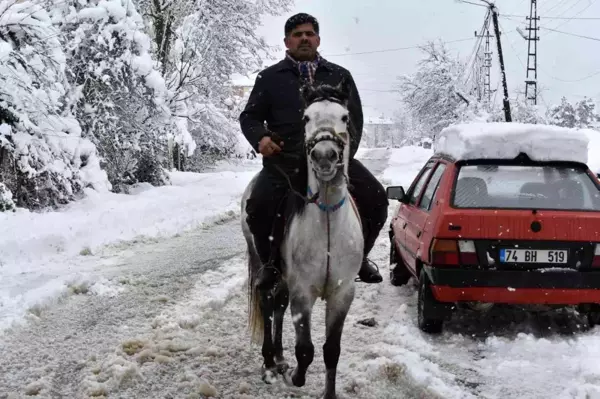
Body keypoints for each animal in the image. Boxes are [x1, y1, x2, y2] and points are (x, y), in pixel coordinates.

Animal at [240, 83, 364, 398]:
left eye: (345, 117)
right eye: (306, 117)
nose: (324, 156)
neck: (327, 218)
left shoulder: (342, 294)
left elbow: (331, 350)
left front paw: (328, 393)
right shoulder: (303, 292)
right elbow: (306, 350)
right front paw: (293, 376)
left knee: (278, 304)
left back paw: (279, 356)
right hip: (264, 263)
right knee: (267, 301)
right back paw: (270, 363)